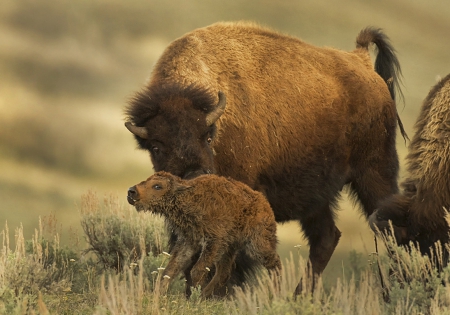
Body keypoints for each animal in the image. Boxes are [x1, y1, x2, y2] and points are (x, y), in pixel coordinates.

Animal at [127, 172, 282, 298]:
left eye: (158, 186)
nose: (132, 191)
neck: (188, 197)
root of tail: (265, 205)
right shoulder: (189, 241)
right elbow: (171, 268)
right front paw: (158, 294)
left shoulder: (214, 241)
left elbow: (197, 270)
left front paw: (192, 297)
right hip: (230, 248)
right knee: (223, 273)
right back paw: (204, 296)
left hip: (257, 244)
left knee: (274, 261)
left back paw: (276, 293)